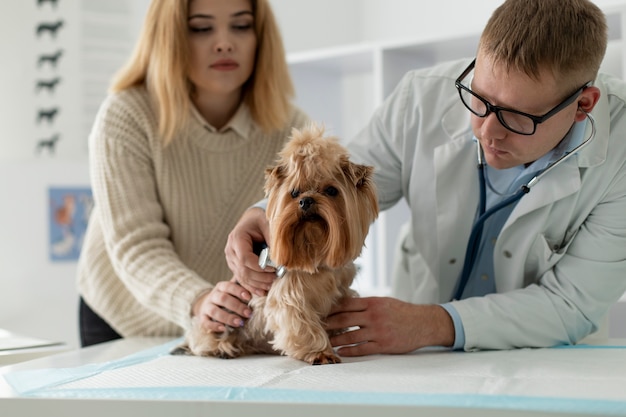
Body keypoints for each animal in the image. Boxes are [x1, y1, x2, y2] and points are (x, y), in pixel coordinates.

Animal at [177, 124, 380, 364]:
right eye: (294, 192)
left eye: (331, 190)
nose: (305, 201)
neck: (315, 253)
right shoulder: (288, 297)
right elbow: (302, 325)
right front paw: (320, 352)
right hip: (220, 320)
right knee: (203, 340)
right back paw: (222, 348)